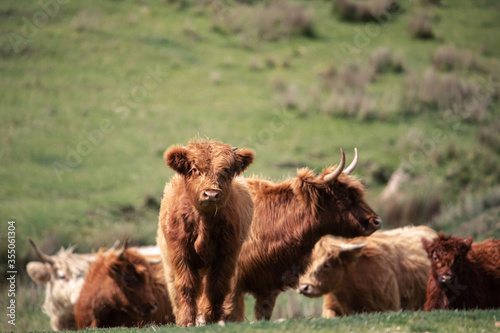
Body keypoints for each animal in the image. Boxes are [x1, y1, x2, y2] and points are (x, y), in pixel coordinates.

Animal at [157, 139, 254, 326]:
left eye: (226, 170)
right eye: (195, 169)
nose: (211, 194)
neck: (203, 223)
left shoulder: (227, 254)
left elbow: (217, 286)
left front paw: (212, 317)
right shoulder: (180, 253)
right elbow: (186, 285)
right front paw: (186, 320)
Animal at [225, 148, 380, 320]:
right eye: (343, 197)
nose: (376, 221)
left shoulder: (269, 285)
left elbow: (263, 314)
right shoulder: (233, 282)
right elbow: (230, 312)